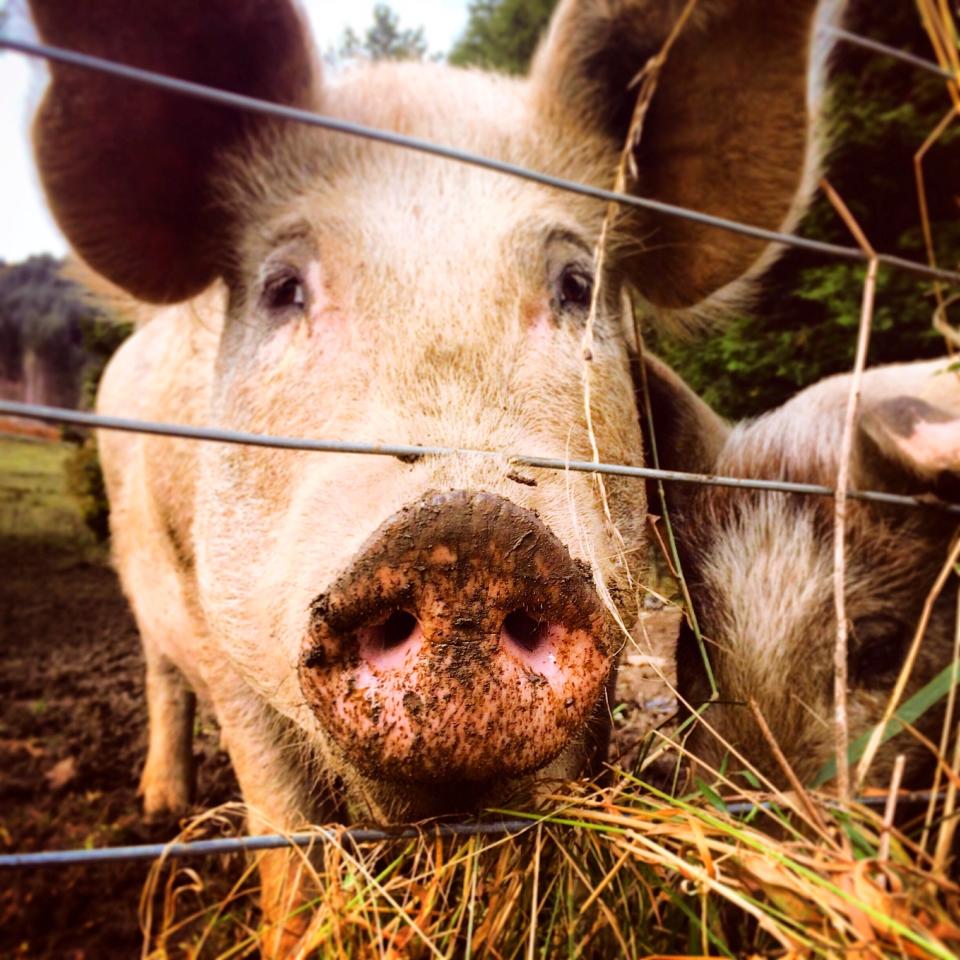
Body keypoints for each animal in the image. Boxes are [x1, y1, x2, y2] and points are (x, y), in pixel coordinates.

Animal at [26, 0, 828, 936]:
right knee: (160, 673)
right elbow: (286, 836)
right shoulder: (221, 633)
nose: (466, 531)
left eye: (578, 285)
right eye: (282, 288)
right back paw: (160, 805)